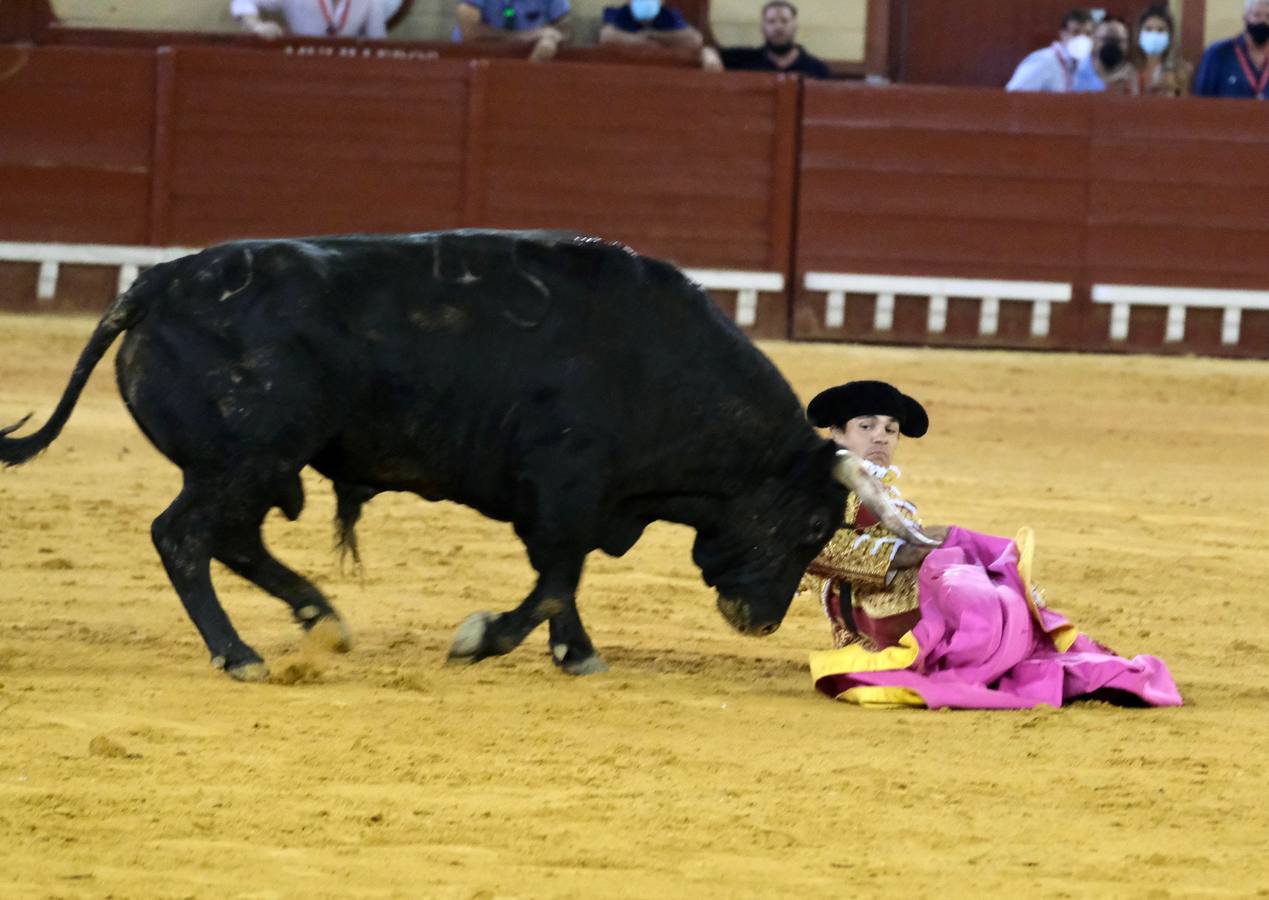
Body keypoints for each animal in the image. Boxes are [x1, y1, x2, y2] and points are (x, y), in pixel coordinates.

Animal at [4, 232, 888, 680]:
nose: (759, 620)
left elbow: (560, 583)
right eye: (808, 527)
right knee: (184, 536)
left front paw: (575, 653)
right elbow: (555, 578)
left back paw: (322, 620)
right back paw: (240, 654)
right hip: (242, 459)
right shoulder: (562, 489)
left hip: (254, 466)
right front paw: (483, 640)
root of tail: (152, 285)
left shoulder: (576, 500)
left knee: (232, 538)